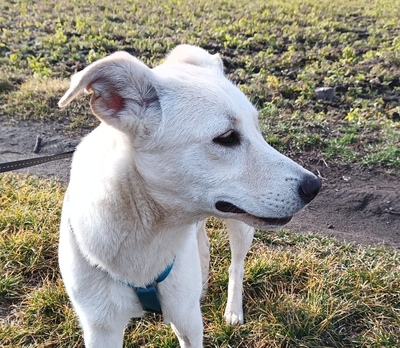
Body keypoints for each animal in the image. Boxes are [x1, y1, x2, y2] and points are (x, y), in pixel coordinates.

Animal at [57, 44, 320, 346]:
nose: (314, 186)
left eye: (258, 130)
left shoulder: (188, 322)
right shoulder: (101, 329)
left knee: (236, 265)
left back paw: (232, 309)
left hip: (241, 228)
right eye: (226, 137)